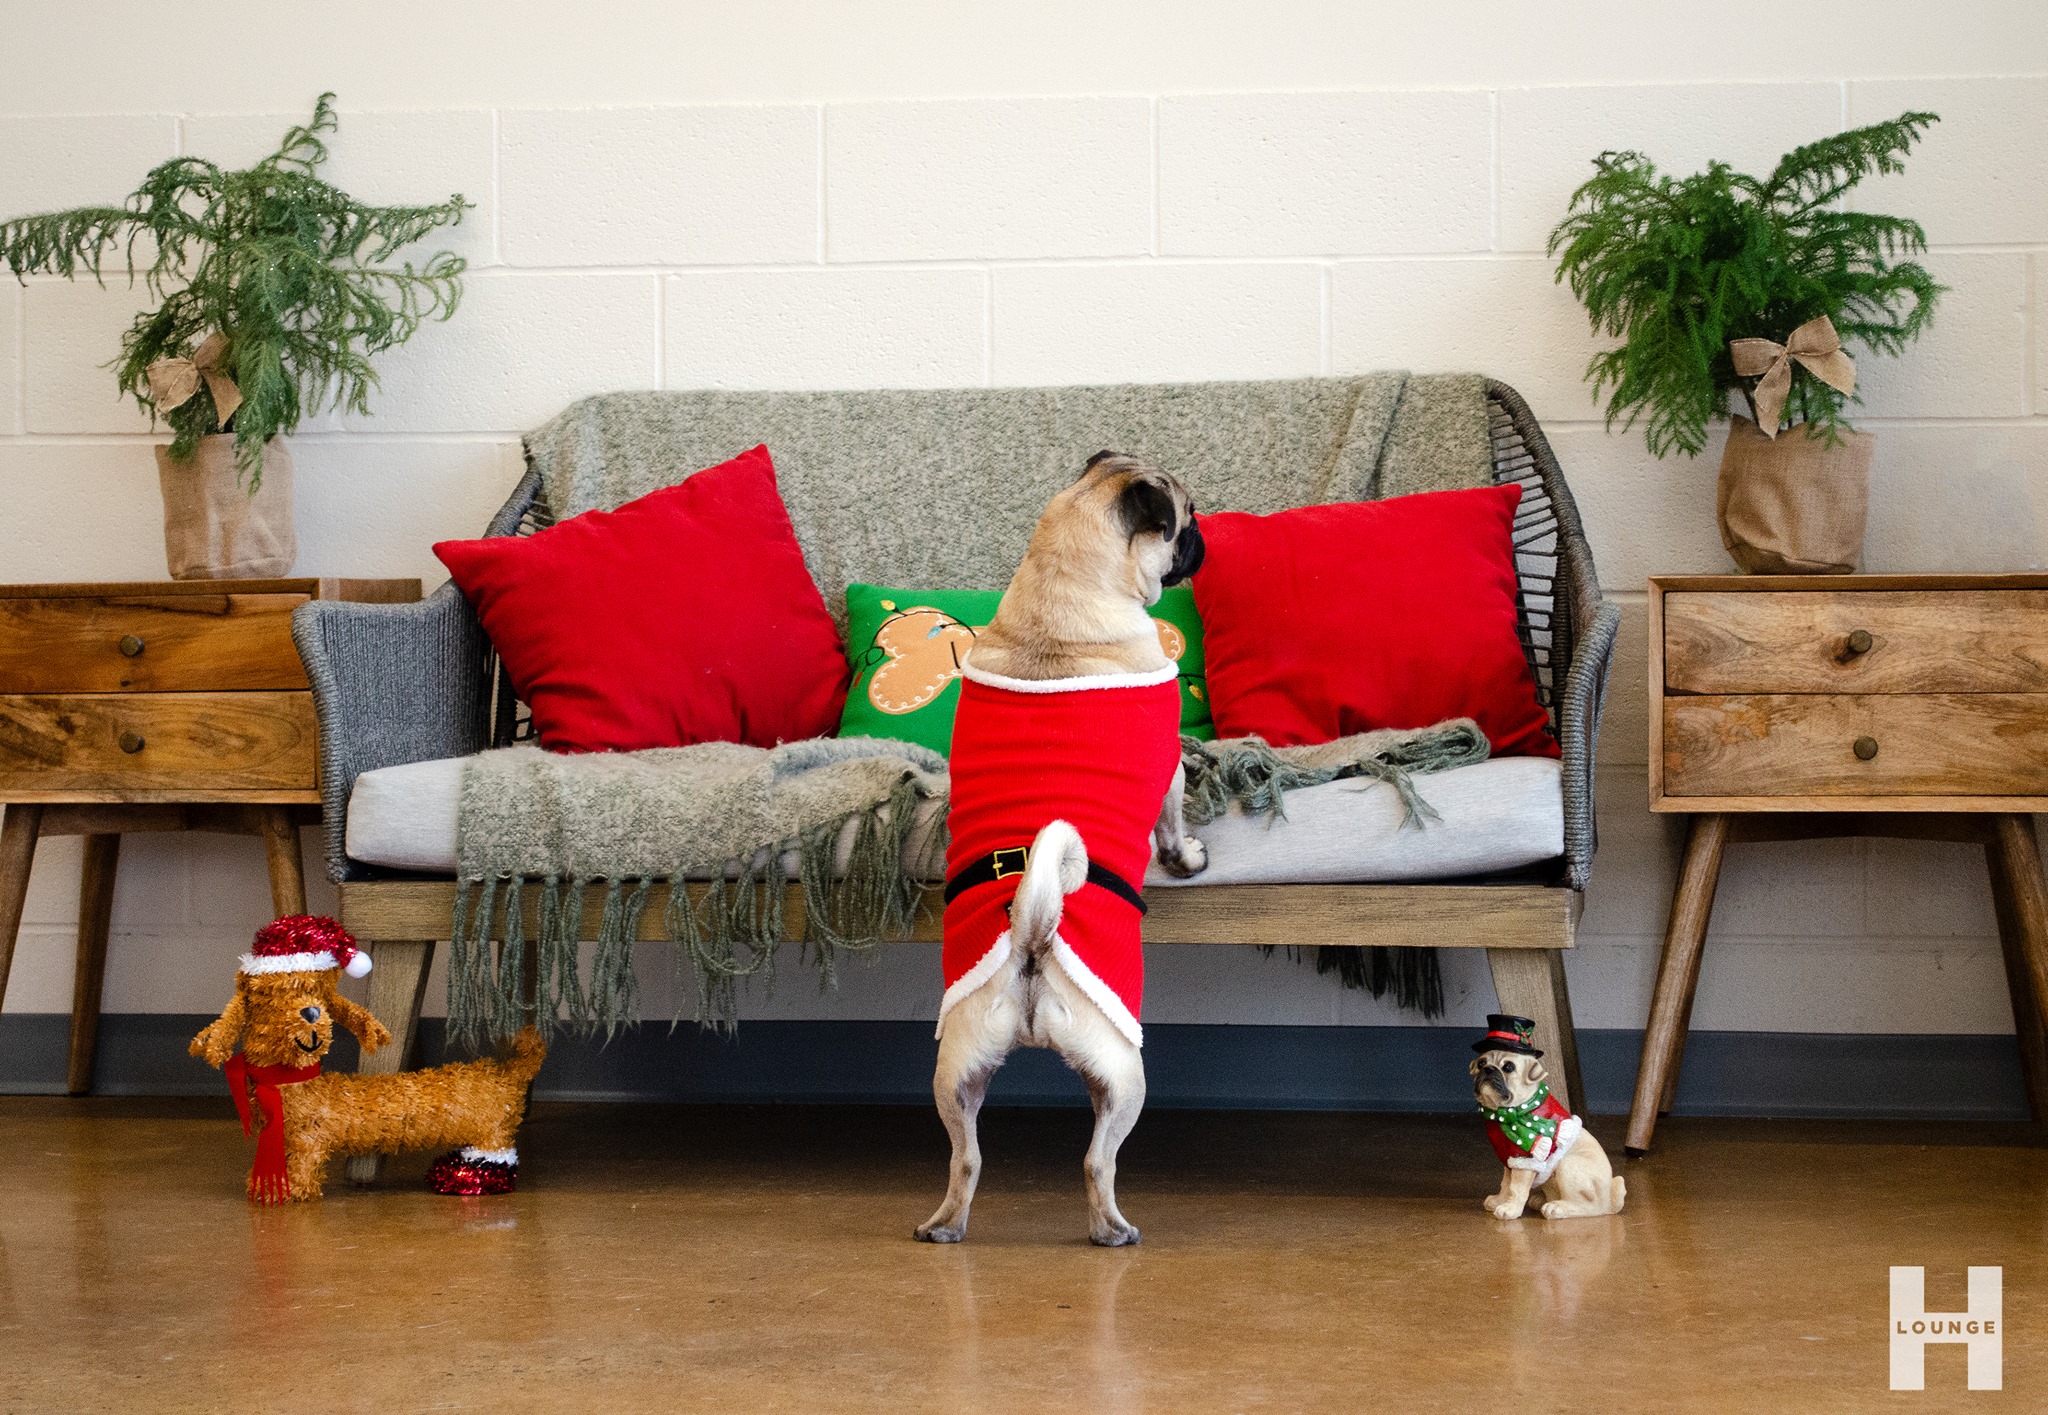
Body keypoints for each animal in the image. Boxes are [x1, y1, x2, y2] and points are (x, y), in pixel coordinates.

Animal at [921, 448, 1204, 1245]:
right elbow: (1173, 816)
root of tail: (1033, 942)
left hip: (957, 1073)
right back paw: (1112, 1229)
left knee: (965, 1158)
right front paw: (1187, 857)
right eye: (1186, 522)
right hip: (1126, 1075)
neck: (1061, 599)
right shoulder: (1168, 764)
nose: (1203, 541)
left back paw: (944, 1225)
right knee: (1096, 1161)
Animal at [1466, 1011, 1622, 1220]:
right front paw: (1500, 1201)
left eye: (1508, 1067)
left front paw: (1510, 1209)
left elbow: (1516, 1188)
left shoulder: (1525, 1162)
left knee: (1591, 1207)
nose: (1488, 1069)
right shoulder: (1509, 1161)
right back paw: (1541, 1200)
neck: (1505, 1113)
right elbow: (1505, 1184)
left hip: (1568, 1167)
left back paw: (1557, 1208)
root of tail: (1609, 1202)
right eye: (1481, 1063)